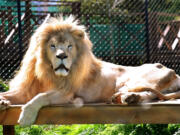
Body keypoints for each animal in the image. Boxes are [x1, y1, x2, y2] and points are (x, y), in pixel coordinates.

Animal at [0, 15, 180, 125]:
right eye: (52, 45)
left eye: (69, 46)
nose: (62, 56)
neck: (48, 71)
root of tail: (174, 72)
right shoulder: (25, 91)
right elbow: (9, 94)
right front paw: (3, 101)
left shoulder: (67, 93)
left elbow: (40, 97)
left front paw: (26, 116)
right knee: (150, 95)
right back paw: (126, 98)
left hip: (135, 79)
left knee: (148, 93)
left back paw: (129, 98)